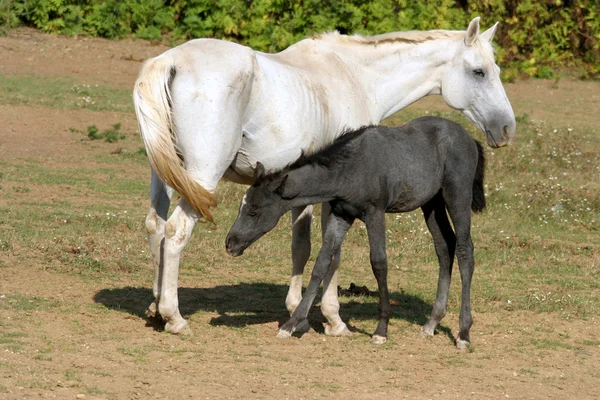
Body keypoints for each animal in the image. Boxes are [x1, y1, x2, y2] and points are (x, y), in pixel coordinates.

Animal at [135, 17, 516, 334]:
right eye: (479, 72)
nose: (507, 128)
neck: (354, 75)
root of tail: (168, 62)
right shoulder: (334, 197)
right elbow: (332, 253)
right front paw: (334, 320)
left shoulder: (302, 190)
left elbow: (302, 248)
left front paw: (296, 310)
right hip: (201, 178)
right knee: (175, 231)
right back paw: (173, 316)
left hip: (166, 177)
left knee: (156, 226)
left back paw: (155, 308)